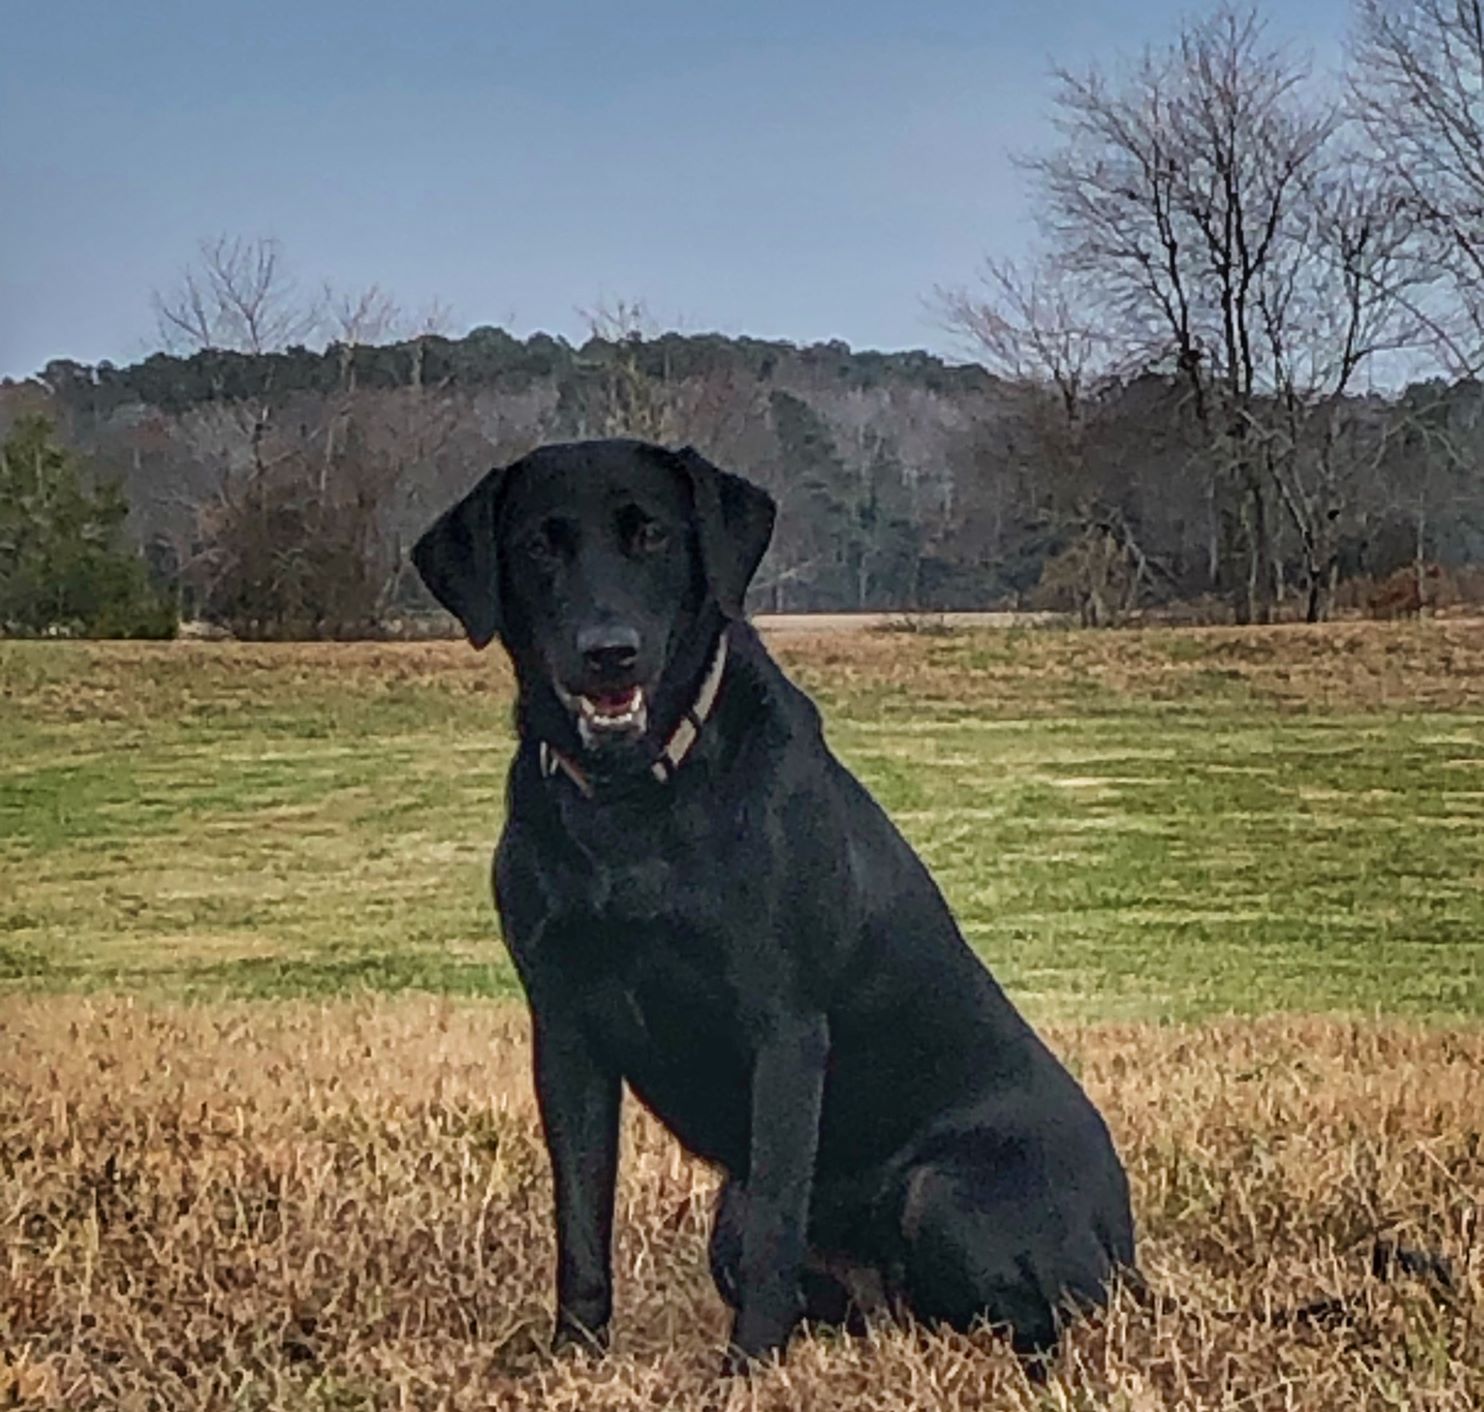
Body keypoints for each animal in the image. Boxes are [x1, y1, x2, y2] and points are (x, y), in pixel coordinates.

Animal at [415, 439, 1133, 1371]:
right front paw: (575, 1351)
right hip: (740, 1208)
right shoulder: (565, 1028)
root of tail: (1127, 1243)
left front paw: (747, 1369)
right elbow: (580, 1218)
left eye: (652, 534)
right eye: (540, 545)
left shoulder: (784, 1030)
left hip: (941, 1189)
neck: (632, 801)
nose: (608, 652)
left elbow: (775, 1238)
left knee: (1037, 1318)